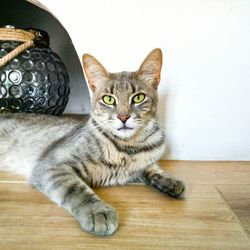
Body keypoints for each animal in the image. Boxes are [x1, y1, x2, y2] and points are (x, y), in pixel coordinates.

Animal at [0, 48, 186, 236]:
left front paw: (169, 180)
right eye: (109, 99)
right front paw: (98, 211)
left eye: (138, 97)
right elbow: (76, 189)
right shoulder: (52, 165)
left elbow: (152, 167)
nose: (123, 117)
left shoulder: (141, 163)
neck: (126, 148)